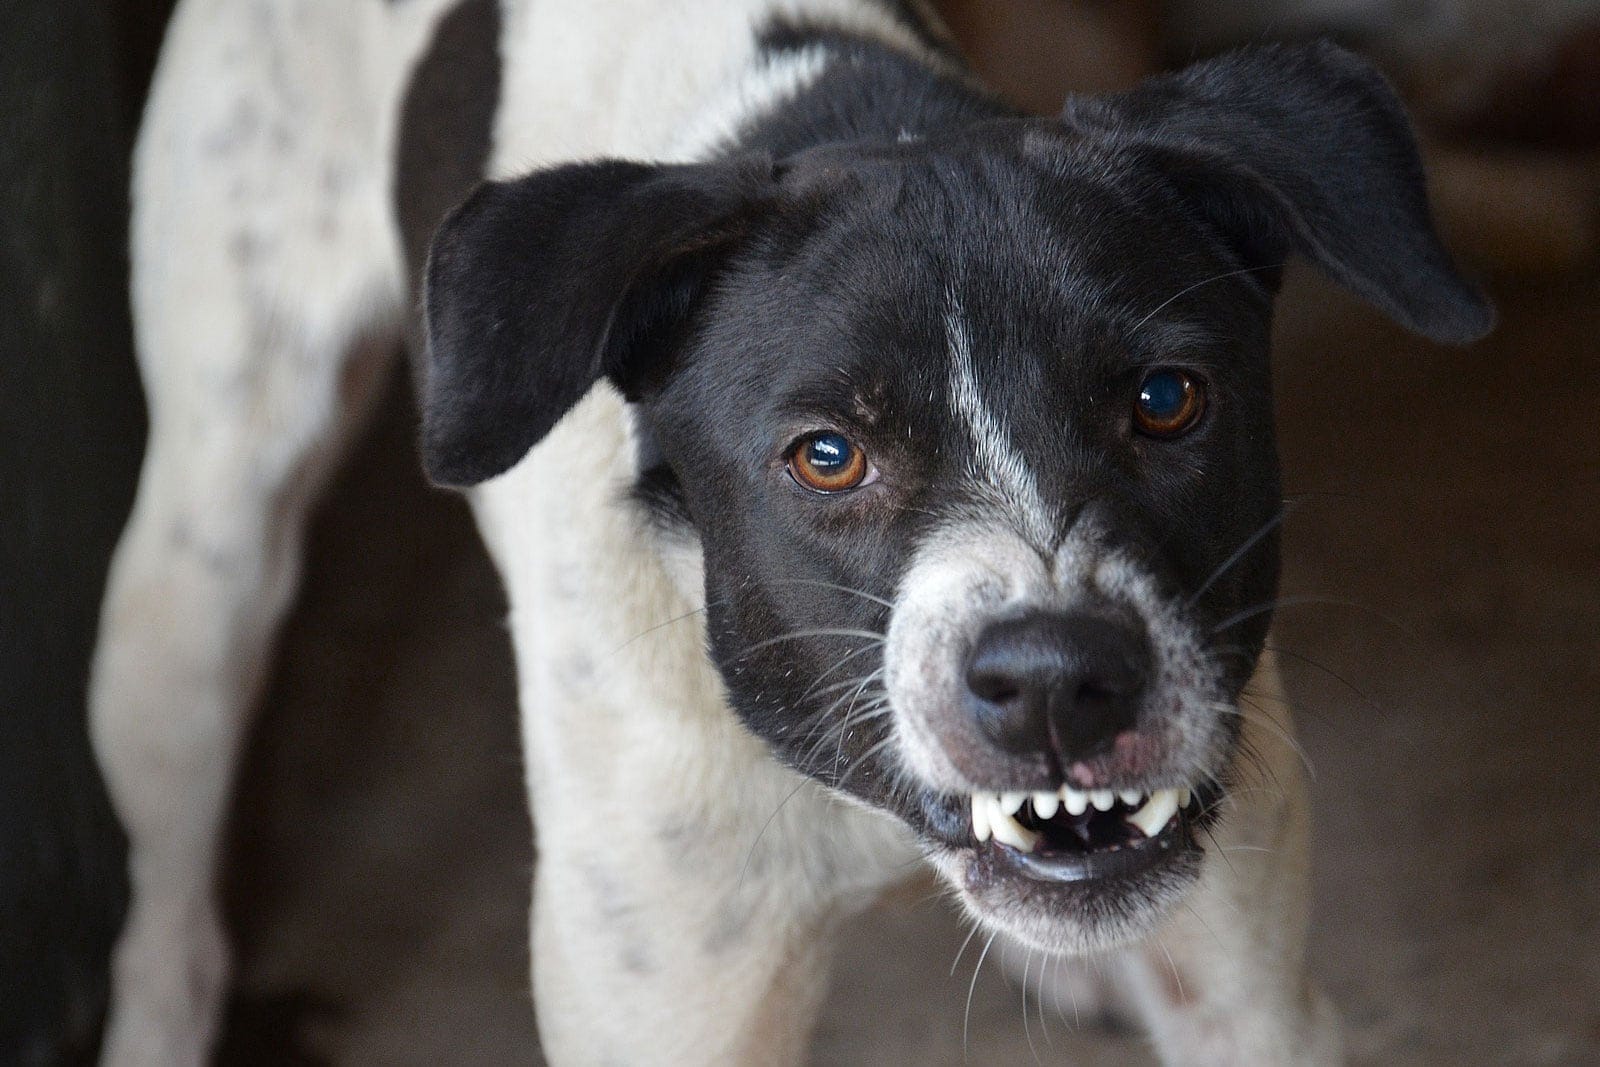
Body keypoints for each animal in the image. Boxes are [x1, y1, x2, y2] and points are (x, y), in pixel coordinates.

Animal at [84, 4, 1484, 1062]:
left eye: (1164, 399)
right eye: (825, 454)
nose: (1056, 679)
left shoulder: (1250, 998)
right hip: (197, 570)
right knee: (167, 896)